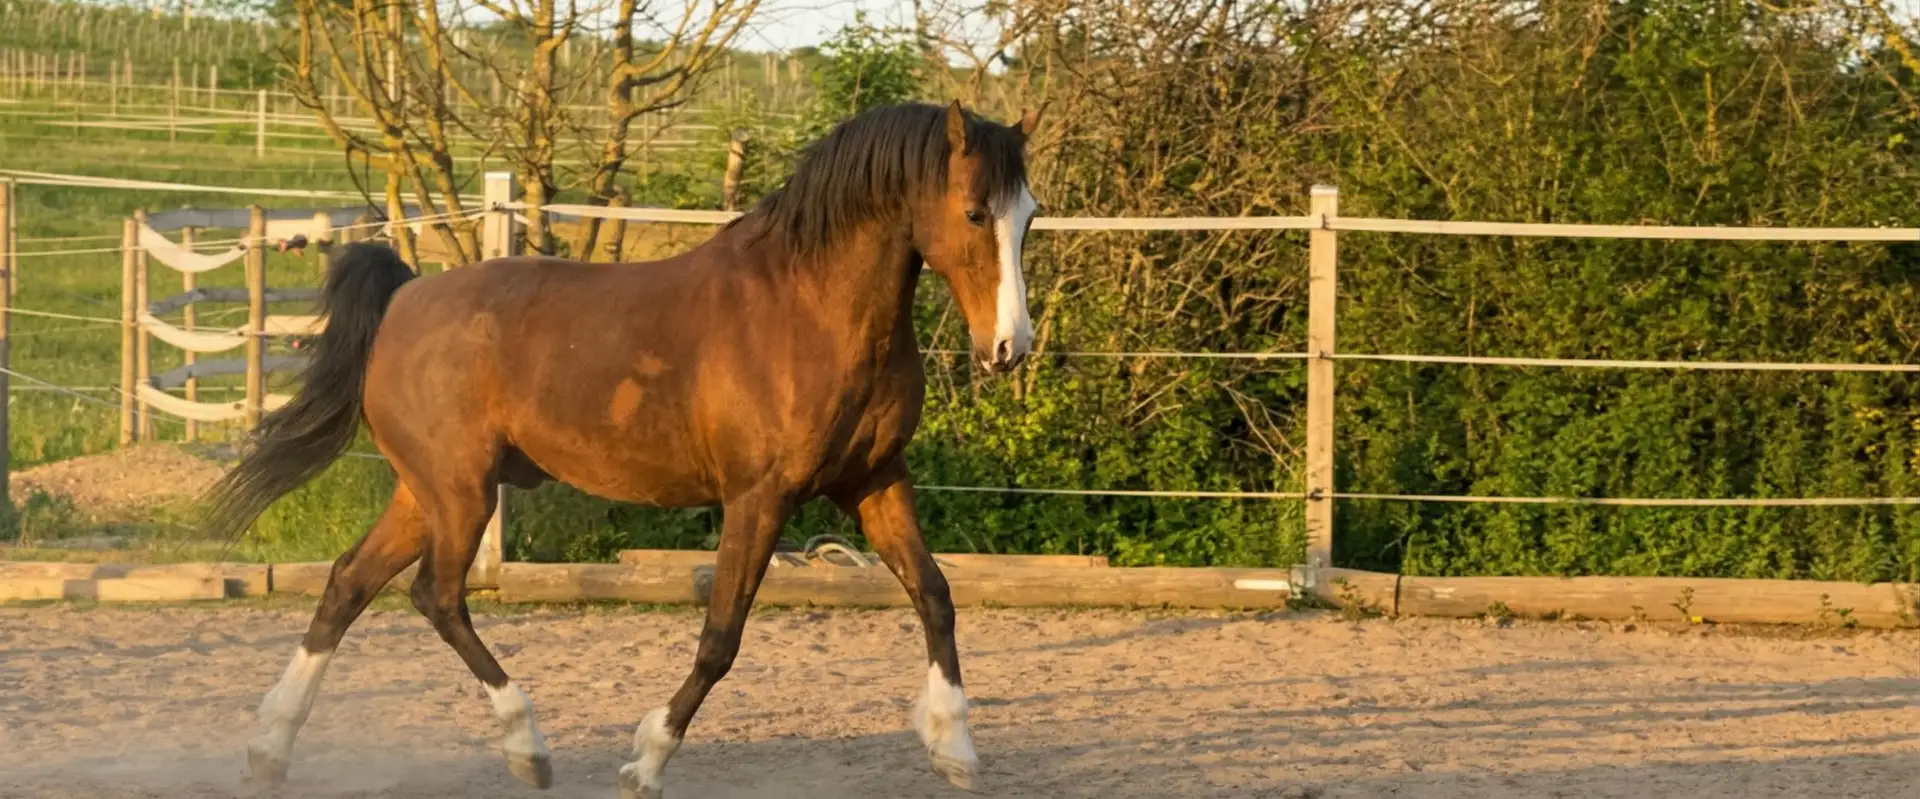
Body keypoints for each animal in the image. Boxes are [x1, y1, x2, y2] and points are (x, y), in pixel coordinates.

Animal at [200, 99, 1042, 798]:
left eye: (1029, 217)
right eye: (974, 212)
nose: (1010, 348)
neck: (810, 308)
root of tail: (404, 298)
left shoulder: (874, 480)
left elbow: (935, 594)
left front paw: (956, 749)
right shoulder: (758, 498)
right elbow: (721, 636)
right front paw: (646, 760)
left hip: (424, 492)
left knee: (348, 583)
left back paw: (269, 748)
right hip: (461, 493)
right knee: (435, 597)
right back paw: (528, 747)